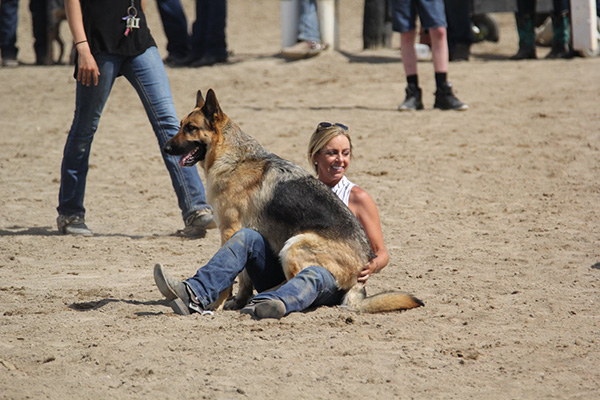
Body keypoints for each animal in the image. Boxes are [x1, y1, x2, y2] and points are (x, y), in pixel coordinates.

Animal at [164, 90, 422, 312]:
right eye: (180, 126)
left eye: (191, 128)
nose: (165, 148)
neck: (234, 157)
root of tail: (363, 266)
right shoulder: (238, 232)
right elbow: (244, 278)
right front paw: (238, 301)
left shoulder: (229, 230)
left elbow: (230, 280)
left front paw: (216, 304)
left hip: (294, 245)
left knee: (299, 283)